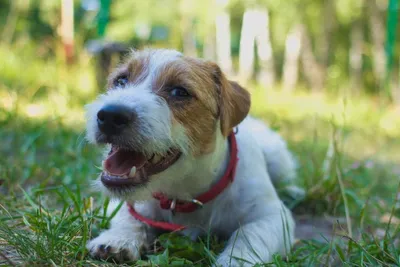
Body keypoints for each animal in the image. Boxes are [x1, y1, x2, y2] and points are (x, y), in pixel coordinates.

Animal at [85, 47, 296, 266]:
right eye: (121, 80)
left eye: (179, 92)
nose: (110, 115)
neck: (184, 191)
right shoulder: (130, 204)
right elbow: (129, 218)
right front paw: (117, 239)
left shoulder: (273, 216)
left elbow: (251, 235)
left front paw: (236, 260)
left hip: (278, 158)